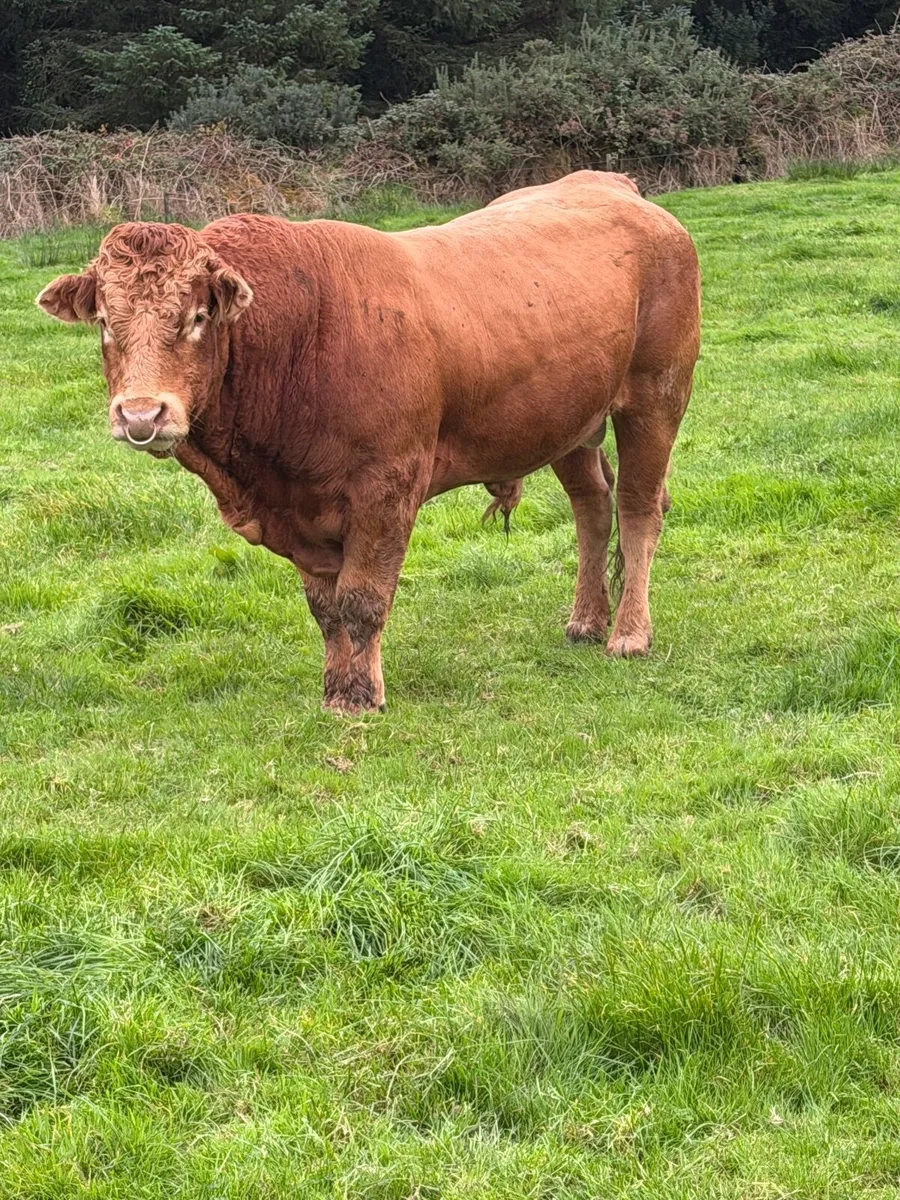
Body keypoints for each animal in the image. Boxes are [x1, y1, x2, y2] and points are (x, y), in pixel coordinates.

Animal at [36, 171, 700, 714]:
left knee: (638, 508)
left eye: (198, 317)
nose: (141, 413)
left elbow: (362, 599)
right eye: (104, 322)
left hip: (656, 395)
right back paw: (586, 621)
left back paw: (629, 633)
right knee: (593, 506)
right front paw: (335, 689)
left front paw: (362, 696)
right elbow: (326, 609)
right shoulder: (301, 510)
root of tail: (613, 186)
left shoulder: (387, 488)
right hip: (568, 425)